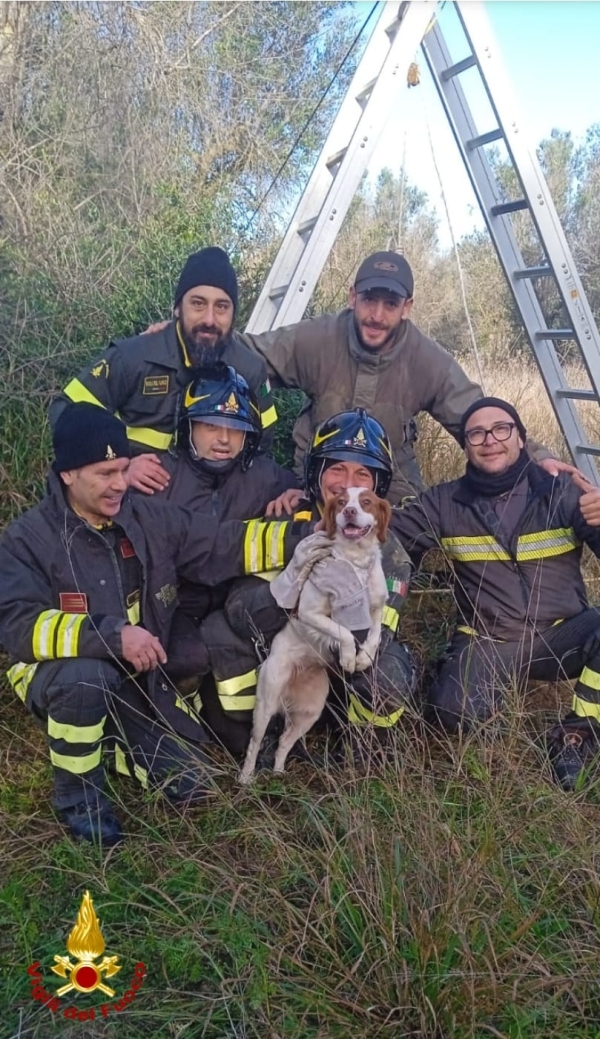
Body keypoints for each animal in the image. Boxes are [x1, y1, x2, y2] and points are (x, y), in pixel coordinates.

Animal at [239, 490, 388, 781]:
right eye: (341, 501)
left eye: (366, 501)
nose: (350, 511)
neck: (355, 561)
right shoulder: (309, 612)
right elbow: (343, 631)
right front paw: (349, 657)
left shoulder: (377, 606)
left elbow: (375, 634)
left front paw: (364, 658)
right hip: (266, 702)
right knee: (254, 743)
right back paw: (246, 778)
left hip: (311, 711)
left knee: (284, 742)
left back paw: (279, 772)